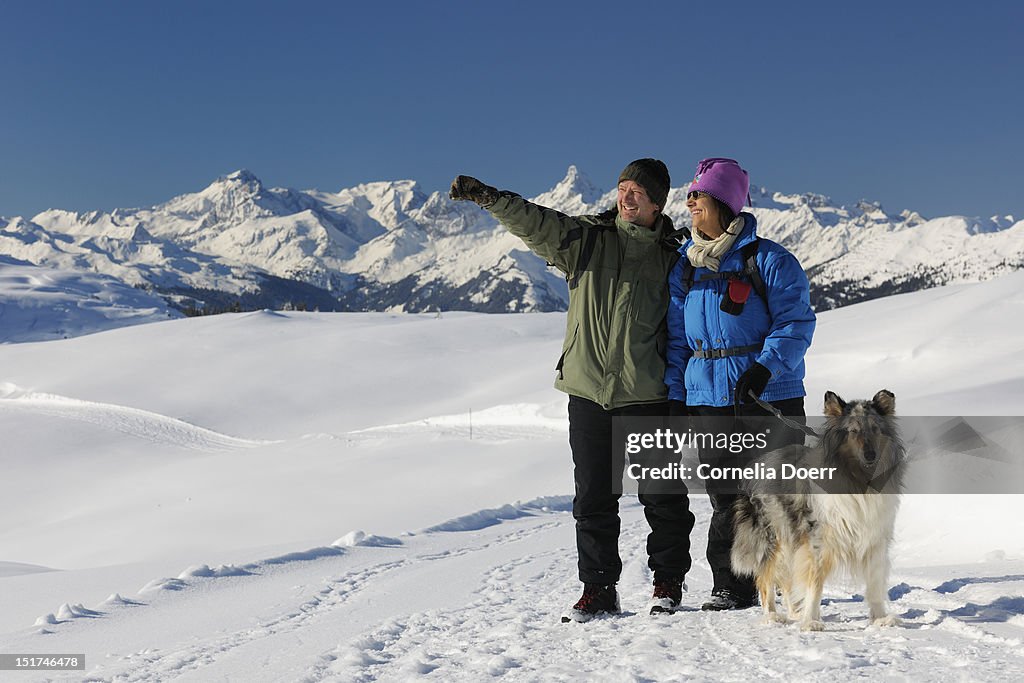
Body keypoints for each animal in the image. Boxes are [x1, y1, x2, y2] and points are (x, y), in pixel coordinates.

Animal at [733, 389, 909, 630]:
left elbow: (874, 582)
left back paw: (794, 612)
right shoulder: (818, 540)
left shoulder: (874, 537)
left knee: (787, 579)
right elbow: (814, 582)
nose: (870, 455)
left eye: (875, 428)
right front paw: (811, 621)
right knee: (766, 579)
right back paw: (772, 616)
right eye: (853, 431)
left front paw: (881, 618)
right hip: (774, 536)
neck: (858, 481)